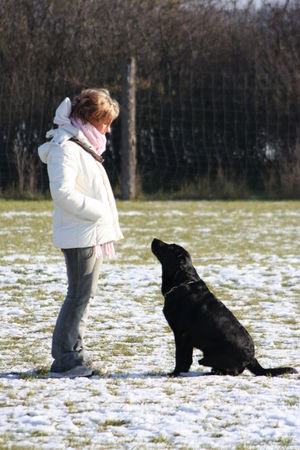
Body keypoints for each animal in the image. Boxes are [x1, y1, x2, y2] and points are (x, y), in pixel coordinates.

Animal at [151, 237, 296, 378]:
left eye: (169, 247)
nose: (154, 239)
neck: (183, 281)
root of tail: (251, 358)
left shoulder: (181, 334)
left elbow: (181, 358)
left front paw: (174, 373)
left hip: (208, 356)